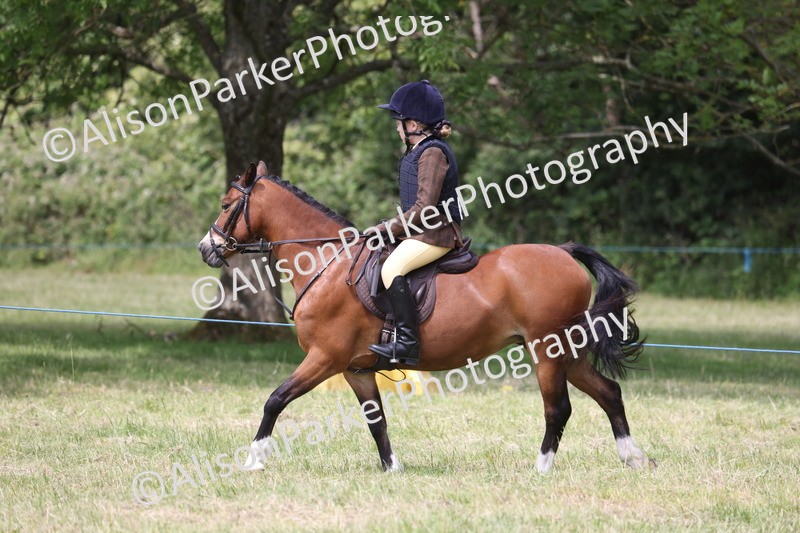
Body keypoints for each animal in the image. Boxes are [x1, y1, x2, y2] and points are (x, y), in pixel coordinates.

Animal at [197, 161, 653, 473]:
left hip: (547, 351)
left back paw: (540, 468)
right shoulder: (355, 369)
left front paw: (254, 460)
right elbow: (376, 420)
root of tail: (563, 252)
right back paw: (633, 457)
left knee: (558, 408)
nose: (206, 248)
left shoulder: (325, 358)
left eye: (225, 205)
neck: (326, 261)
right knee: (609, 393)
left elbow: (275, 399)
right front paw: (392, 469)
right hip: (568, 351)